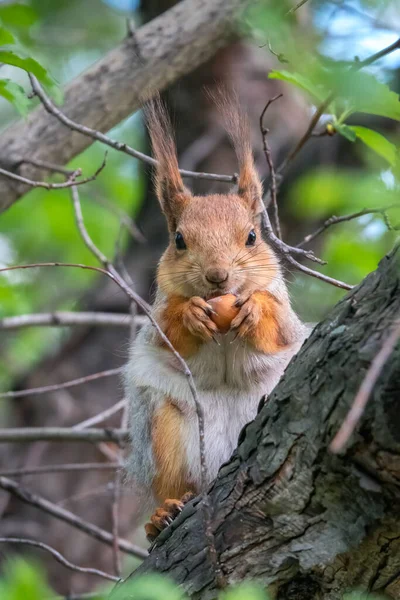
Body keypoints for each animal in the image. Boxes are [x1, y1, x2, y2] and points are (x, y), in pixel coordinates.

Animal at [125, 94, 310, 544]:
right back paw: (163, 515)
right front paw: (191, 314)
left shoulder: (286, 315)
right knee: (173, 484)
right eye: (178, 240)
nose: (218, 276)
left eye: (252, 237)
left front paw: (255, 309)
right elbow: (168, 328)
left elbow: (278, 328)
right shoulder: (156, 317)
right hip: (163, 429)